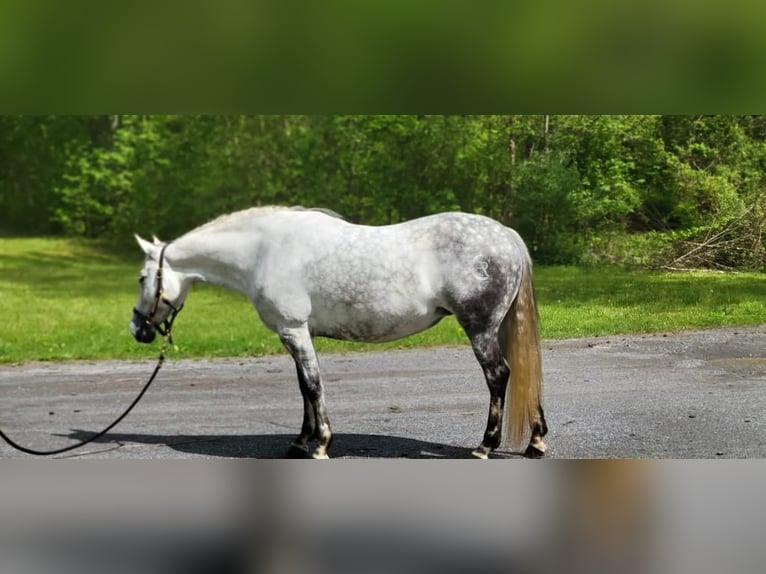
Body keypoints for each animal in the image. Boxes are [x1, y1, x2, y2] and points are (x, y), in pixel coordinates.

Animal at [130, 206, 544, 460]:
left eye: (141, 278)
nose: (137, 328)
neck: (265, 250)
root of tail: (507, 235)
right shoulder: (298, 334)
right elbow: (304, 389)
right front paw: (301, 442)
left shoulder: (293, 331)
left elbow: (314, 387)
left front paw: (321, 444)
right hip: (500, 329)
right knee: (523, 374)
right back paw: (536, 443)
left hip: (480, 330)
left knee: (499, 376)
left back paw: (485, 446)